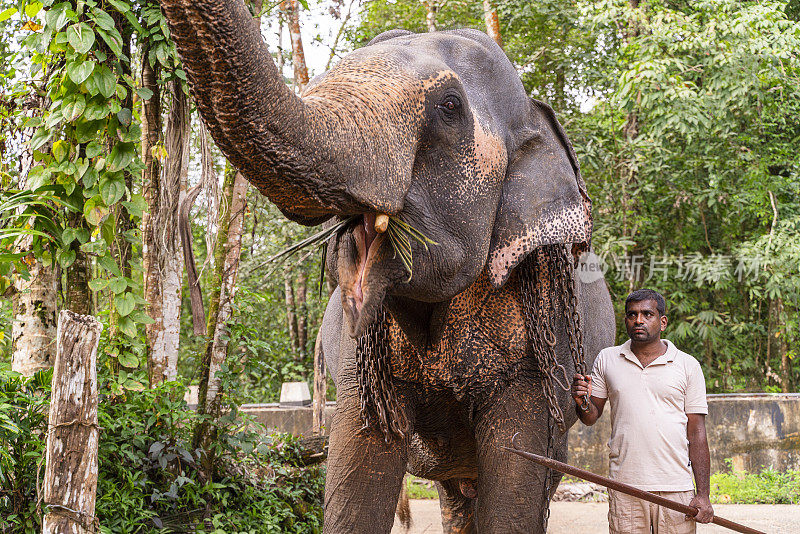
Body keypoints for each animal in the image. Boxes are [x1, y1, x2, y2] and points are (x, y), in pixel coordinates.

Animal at [159, 2, 616, 532]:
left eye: (450, 107)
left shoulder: (536, 349)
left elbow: (518, 482)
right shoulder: (361, 361)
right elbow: (358, 471)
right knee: (455, 496)